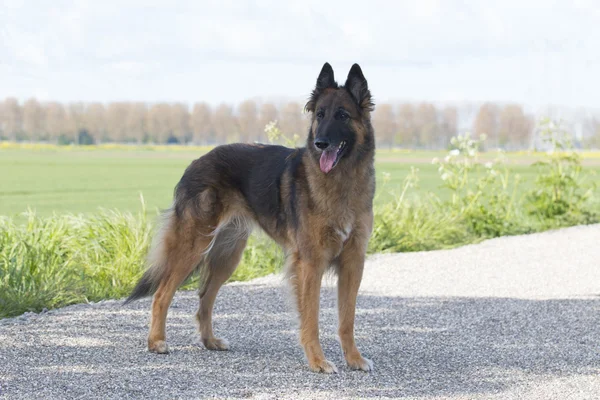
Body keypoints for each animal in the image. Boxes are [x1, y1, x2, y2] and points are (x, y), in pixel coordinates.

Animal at [126, 61, 376, 372]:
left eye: (342, 115)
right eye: (320, 115)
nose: (320, 143)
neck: (342, 180)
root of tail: (196, 161)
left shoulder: (353, 261)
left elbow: (347, 319)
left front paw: (354, 359)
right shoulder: (310, 263)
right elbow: (311, 319)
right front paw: (317, 361)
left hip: (227, 256)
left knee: (204, 297)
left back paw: (210, 341)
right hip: (193, 247)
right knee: (162, 294)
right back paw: (157, 342)